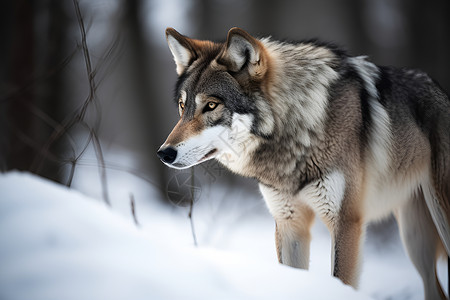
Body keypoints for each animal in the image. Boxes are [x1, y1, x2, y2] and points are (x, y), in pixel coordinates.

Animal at [157, 27, 450, 298]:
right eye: (183, 106)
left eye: (211, 105)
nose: (164, 153)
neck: (298, 127)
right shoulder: (290, 225)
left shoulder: (346, 222)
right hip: (415, 239)